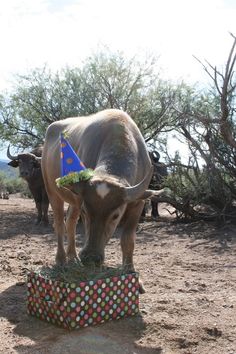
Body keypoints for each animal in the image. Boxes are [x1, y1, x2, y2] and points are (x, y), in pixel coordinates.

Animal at [41, 109, 161, 276]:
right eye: (85, 212)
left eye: (116, 215)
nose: (91, 258)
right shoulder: (80, 202)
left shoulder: (138, 203)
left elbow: (128, 239)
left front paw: (129, 269)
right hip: (52, 191)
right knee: (59, 223)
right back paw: (62, 259)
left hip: (74, 201)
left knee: (70, 222)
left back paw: (73, 257)